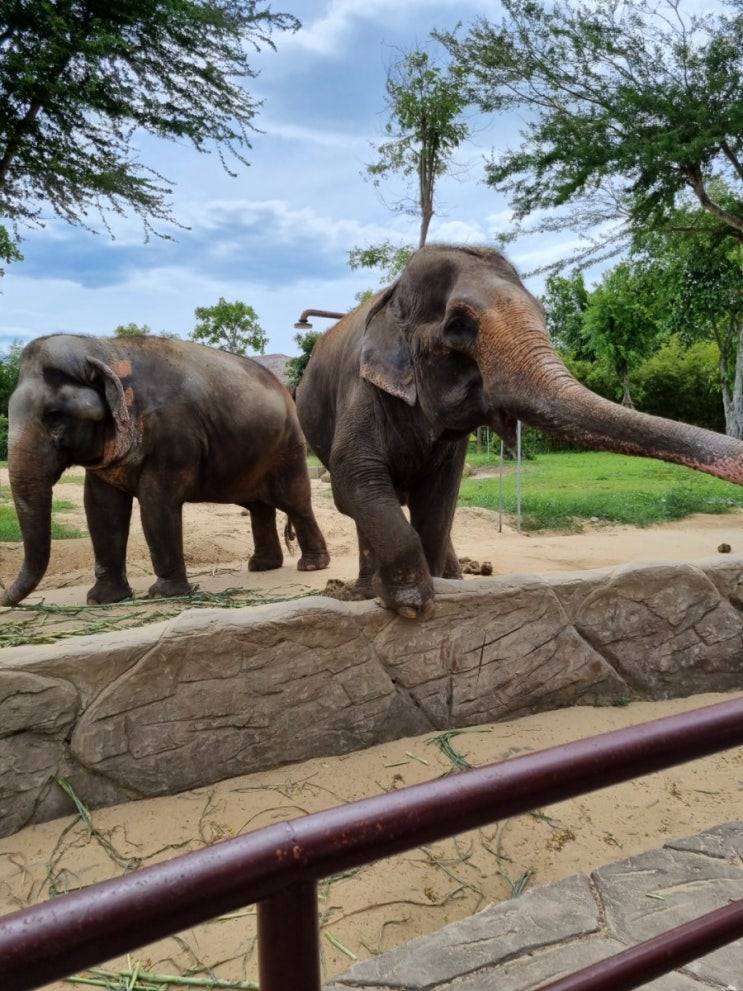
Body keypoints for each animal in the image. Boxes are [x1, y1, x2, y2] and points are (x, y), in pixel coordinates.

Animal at [0, 338, 332, 608]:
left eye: (54, 416)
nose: (5, 599)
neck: (104, 350)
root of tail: (285, 390)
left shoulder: (172, 437)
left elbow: (156, 503)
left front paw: (164, 594)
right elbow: (101, 509)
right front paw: (102, 600)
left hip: (288, 447)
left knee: (295, 501)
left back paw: (311, 566)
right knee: (260, 508)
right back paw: (262, 566)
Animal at [296, 244, 743, 620]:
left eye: (544, 316)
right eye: (458, 325)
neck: (392, 299)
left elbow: (440, 498)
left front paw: (437, 589)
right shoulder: (360, 390)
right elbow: (355, 476)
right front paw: (410, 606)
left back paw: (452, 578)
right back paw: (362, 593)